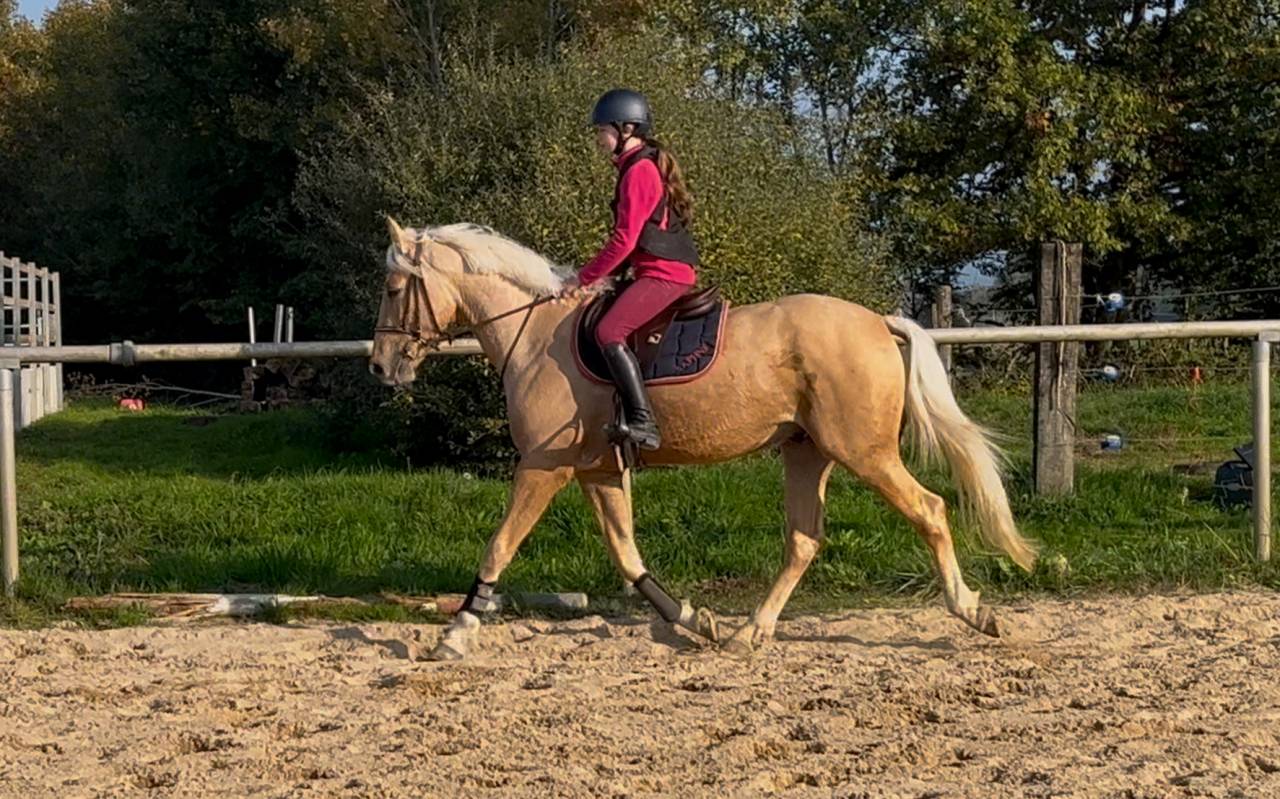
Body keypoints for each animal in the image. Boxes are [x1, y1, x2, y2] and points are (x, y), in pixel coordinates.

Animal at [369, 218, 1037, 660]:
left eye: (395, 289)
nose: (381, 365)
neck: (534, 333)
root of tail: (877, 321)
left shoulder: (543, 467)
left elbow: (499, 546)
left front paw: (457, 632)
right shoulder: (598, 471)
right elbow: (627, 556)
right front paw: (696, 618)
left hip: (863, 452)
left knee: (929, 509)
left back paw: (972, 612)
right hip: (807, 452)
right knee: (804, 539)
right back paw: (750, 632)